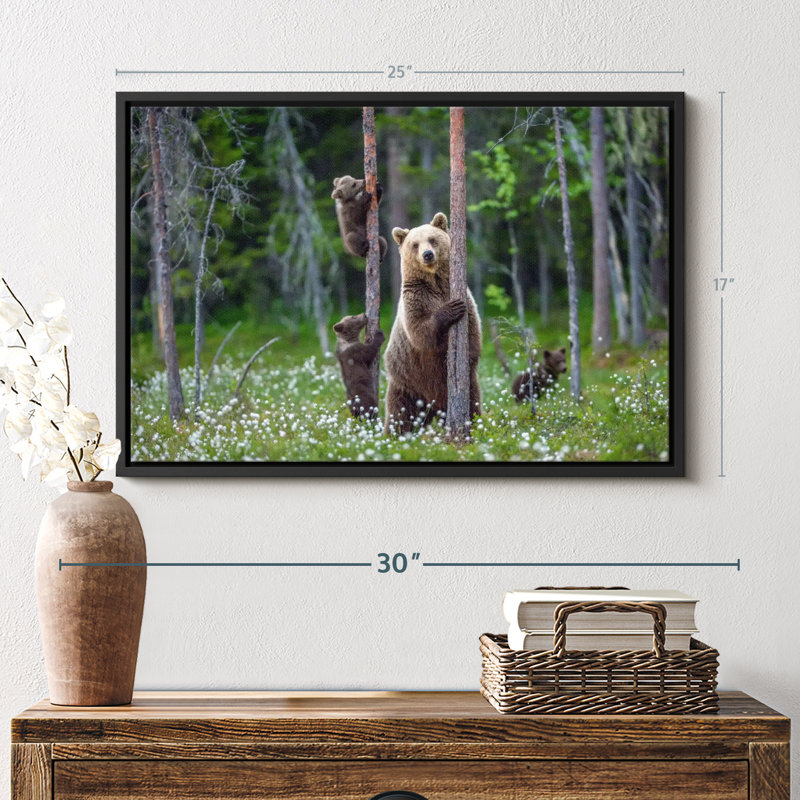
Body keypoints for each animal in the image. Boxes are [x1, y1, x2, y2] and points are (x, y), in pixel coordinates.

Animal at [383, 212, 482, 435]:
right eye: (415, 244)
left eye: (432, 239)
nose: (427, 254)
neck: (435, 283)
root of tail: (434, 406)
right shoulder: (415, 299)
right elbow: (420, 332)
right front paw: (450, 310)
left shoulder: (465, 297)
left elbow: (473, 332)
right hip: (407, 382)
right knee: (400, 414)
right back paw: (393, 436)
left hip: (465, 387)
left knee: (473, 404)